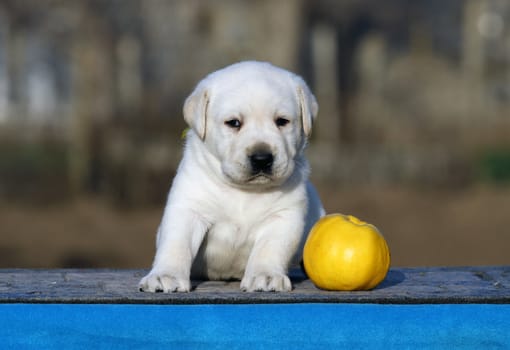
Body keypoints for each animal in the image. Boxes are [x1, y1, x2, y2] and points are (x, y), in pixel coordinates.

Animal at [138, 60, 322, 292]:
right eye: (233, 123)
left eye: (282, 121)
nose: (262, 158)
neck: (244, 191)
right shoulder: (188, 210)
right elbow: (176, 244)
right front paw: (165, 275)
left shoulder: (283, 217)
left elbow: (269, 248)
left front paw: (266, 275)